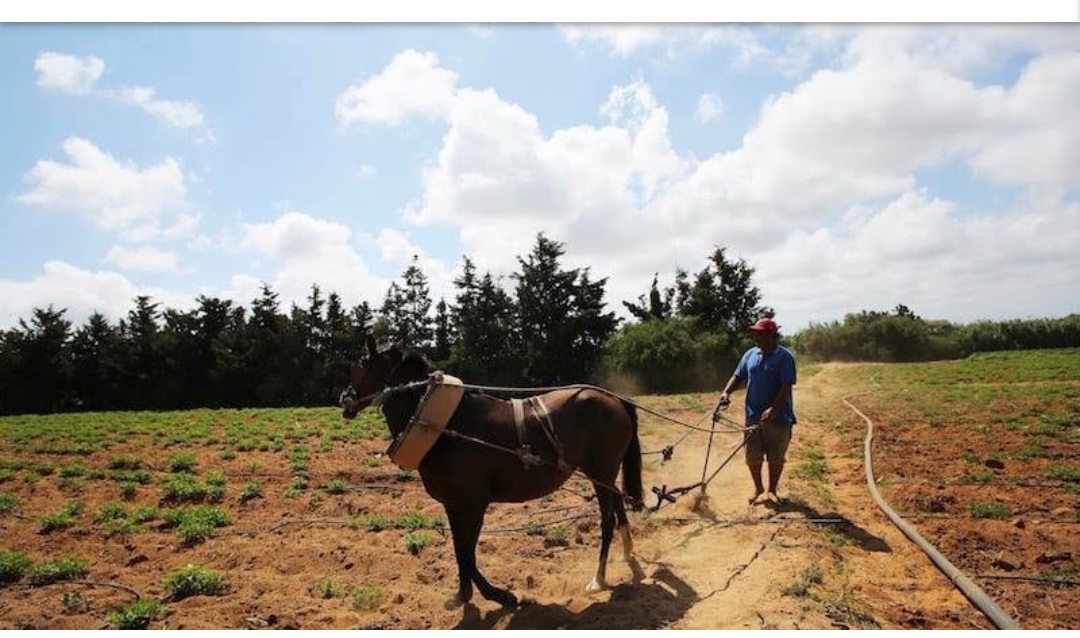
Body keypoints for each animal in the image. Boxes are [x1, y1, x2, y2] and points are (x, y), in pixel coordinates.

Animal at [339, 334, 639, 608]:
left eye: (360, 365)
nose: (344, 399)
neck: (446, 425)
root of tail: (614, 398)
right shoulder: (452, 504)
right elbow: (459, 549)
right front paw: (463, 594)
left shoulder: (473, 503)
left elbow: (467, 553)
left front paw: (498, 595)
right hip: (606, 473)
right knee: (618, 503)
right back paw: (627, 553)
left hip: (600, 471)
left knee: (607, 519)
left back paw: (598, 578)